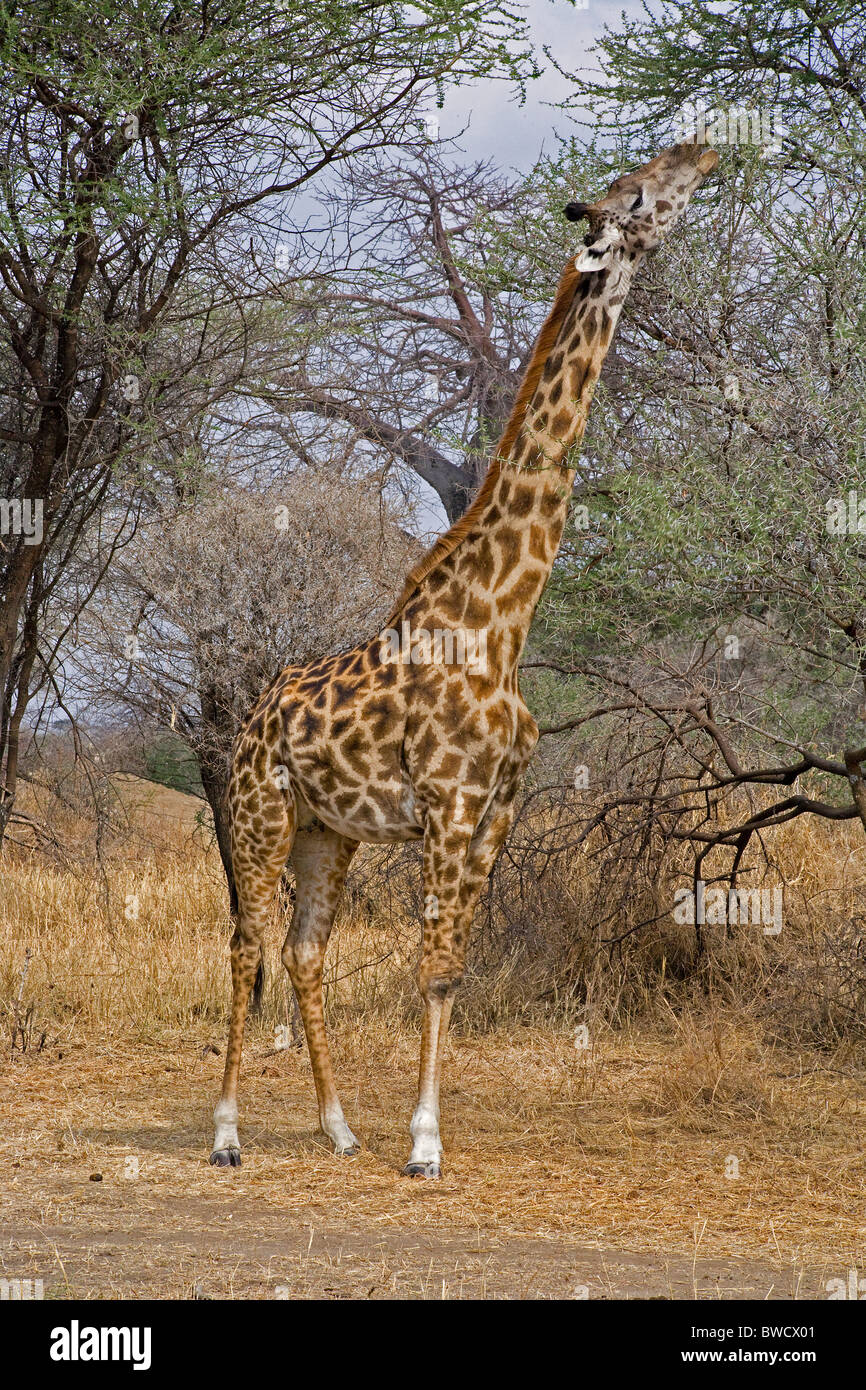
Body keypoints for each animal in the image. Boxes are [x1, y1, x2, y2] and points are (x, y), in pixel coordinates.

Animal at [209, 141, 717, 1178]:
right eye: (641, 191)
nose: (708, 151)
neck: (501, 622)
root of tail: (252, 715)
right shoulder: (447, 802)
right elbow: (431, 966)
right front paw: (425, 1144)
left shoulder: (497, 809)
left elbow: (453, 969)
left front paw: (409, 1134)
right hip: (260, 813)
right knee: (246, 943)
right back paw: (229, 1133)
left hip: (329, 831)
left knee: (303, 950)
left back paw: (338, 1128)